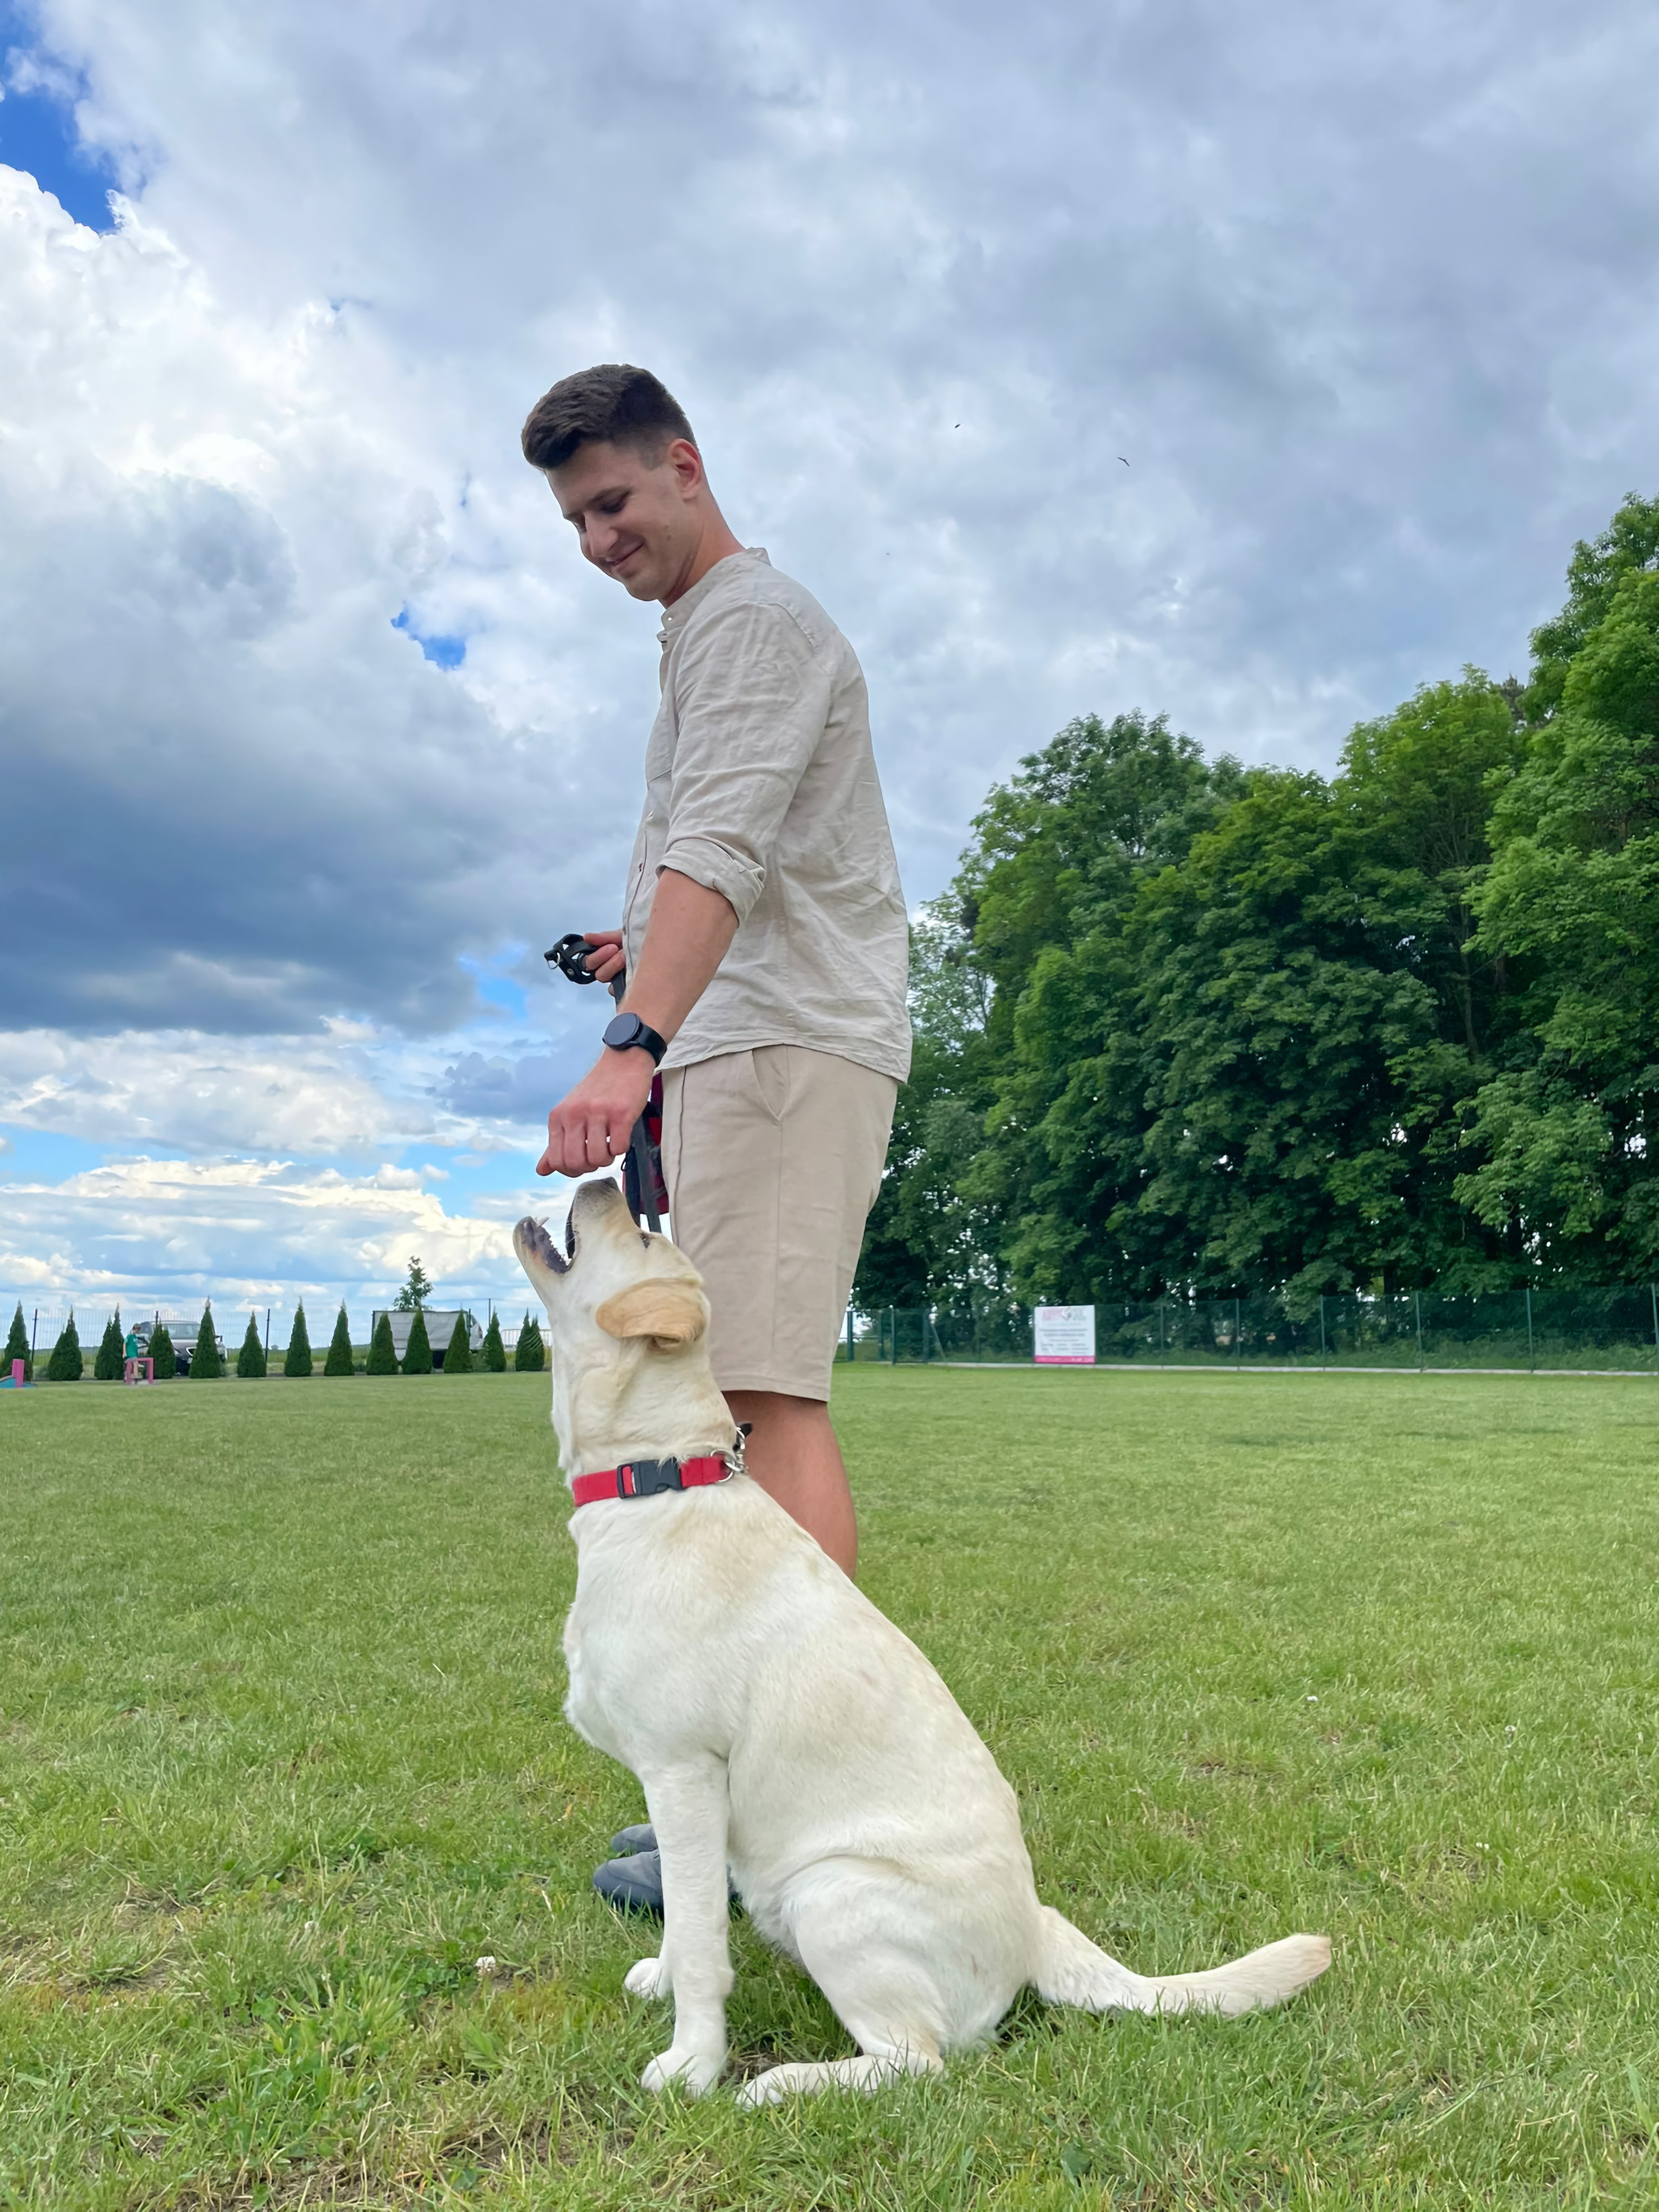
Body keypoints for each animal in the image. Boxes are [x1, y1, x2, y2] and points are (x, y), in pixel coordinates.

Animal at [515, 1179, 1329, 2103]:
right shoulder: (683, 1800)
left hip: (833, 1892)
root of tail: (1036, 1933)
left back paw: (779, 2085)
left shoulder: (685, 1774)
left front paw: (693, 2067)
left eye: (644, 1241)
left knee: (919, 2061)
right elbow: (688, 1926)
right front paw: (660, 1982)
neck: (654, 1481)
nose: (600, 1181)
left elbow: (701, 1949)